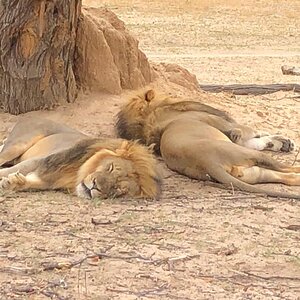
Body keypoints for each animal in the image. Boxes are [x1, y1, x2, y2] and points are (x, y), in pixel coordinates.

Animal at [0, 117, 162, 199]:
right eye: (111, 167)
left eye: (119, 189)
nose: (95, 186)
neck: (77, 172)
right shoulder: (41, 161)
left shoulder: (49, 181)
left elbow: (30, 182)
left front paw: (12, 182)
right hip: (17, 145)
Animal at [116, 88, 300, 199]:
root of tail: (208, 163)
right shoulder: (229, 127)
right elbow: (256, 133)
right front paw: (284, 142)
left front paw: (283, 143)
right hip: (249, 155)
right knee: (285, 167)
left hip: (254, 174)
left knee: (286, 177)